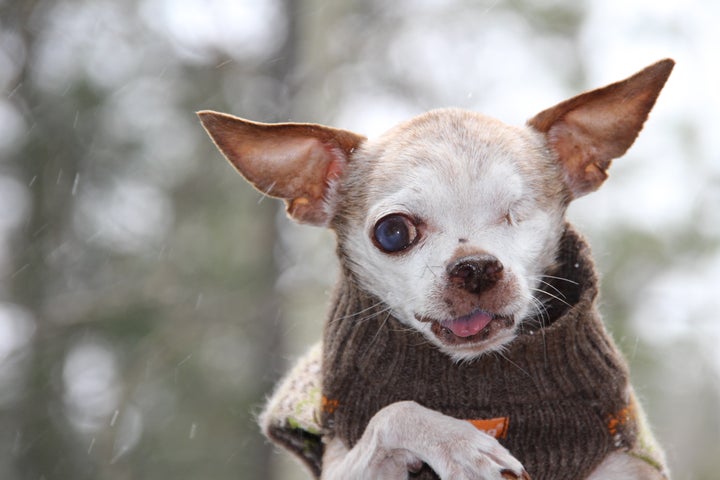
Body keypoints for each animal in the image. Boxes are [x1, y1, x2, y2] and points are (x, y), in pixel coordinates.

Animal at [198, 60, 676, 480]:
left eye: (517, 214)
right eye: (393, 232)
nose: (476, 267)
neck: (476, 384)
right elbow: (394, 412)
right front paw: (460, 445)